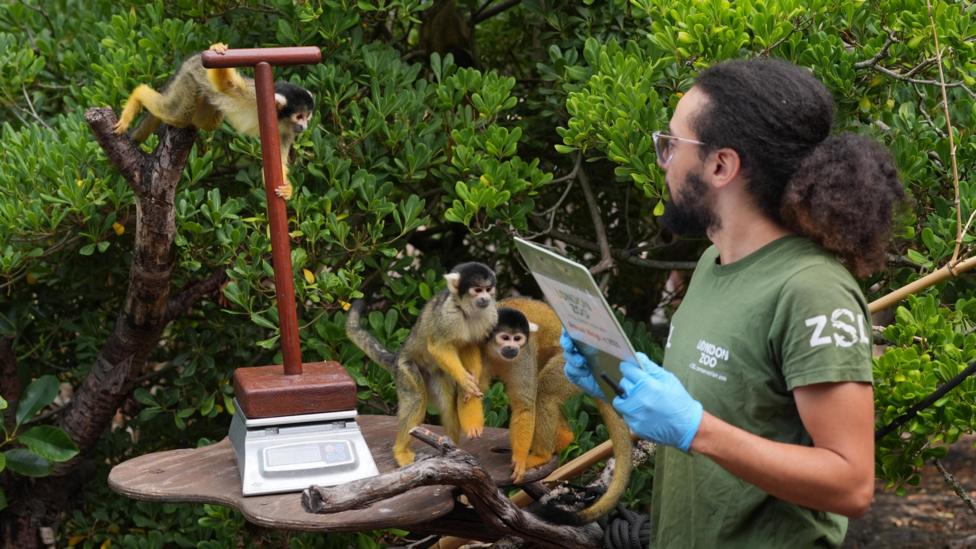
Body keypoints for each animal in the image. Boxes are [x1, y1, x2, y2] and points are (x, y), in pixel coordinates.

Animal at [113, 43, 314, 200]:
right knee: (177, 114)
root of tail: (192, 59)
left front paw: (286, 189)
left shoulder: (287, 132)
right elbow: (227, 84)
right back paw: (138, 95)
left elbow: (276, 165)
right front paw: (218, 48)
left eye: (307, 116)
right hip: (189, 78)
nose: (304, 126)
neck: (279, 118)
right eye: (299, 116)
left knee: (206, 121)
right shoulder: (254, 96)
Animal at [346, 262, 499, 466]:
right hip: (405, 369)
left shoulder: (490, 314)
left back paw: (450, 448)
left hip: (437, 374)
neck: (467, 310)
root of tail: (397, 356)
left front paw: (472, 383)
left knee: (448, 403)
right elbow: (438, 346)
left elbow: (469, 345)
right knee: (417, 397)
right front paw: (465, 381)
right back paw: (401, 451)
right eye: (478, 290)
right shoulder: (448, 315)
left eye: (488, 289)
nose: (485, 298)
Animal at [480, 297, 634, 524]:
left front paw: (520, 460)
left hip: (571, 368)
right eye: (504, 338)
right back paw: (564, 438)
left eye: (514, 338)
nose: (510, 348)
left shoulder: (522, 352)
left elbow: (525, 405)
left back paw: (542, 454)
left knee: (544, 393)